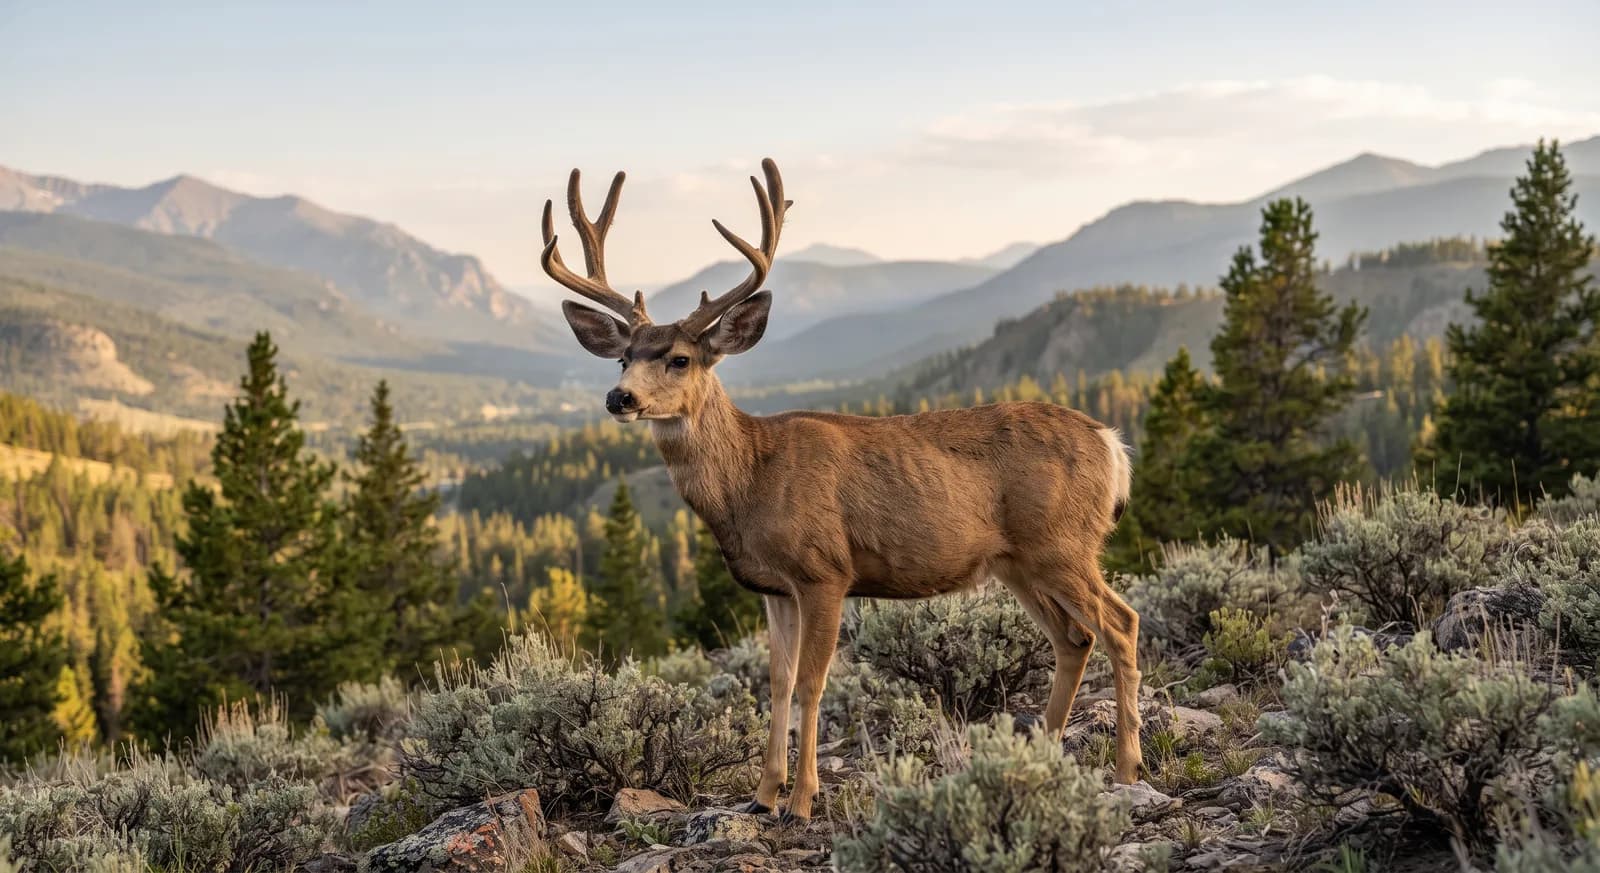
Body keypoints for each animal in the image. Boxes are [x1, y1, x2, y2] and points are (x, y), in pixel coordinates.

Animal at [539, 158, 1142, 820]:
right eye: (623, 357)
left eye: (678, 359)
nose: (619, 397)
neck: (751, 481)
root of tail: (1112, 444)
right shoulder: (772, 588)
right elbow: (776, 683)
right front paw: (763, 794)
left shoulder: (824, 570)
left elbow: (811, 681)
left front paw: (802, 799)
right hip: (1018, 561)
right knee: (1074, 637)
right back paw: (1045, 755)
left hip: (1062, 542)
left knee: (1122, 623)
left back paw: (1126, 767)